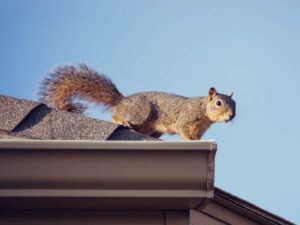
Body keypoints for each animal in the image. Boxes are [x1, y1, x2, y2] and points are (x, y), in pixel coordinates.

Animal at [38, 64, 236, 140]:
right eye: (219, 103)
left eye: (235, 105)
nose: (231, 116)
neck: (203, 111)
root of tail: (122, 100)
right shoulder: (186, 119)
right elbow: (184, 132)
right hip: (141, 112)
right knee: (115, 115)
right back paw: (122, 120)